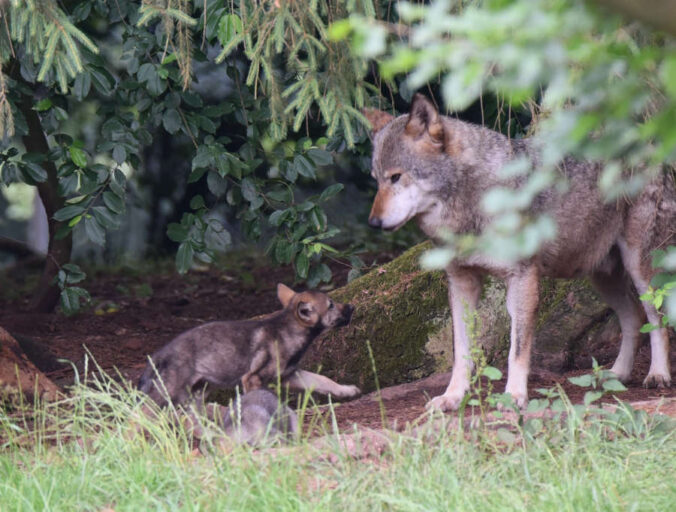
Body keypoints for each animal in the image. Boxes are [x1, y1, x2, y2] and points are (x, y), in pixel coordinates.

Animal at [137, 284, 360, 408]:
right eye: (331, 305)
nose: (352, 306)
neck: (288, 331)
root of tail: (160, 353)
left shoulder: (290, 375)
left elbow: (322, 380)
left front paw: (346, 390)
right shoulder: (253, 378)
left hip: (197, 392)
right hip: (169, 390)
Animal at [368, 94, 672, 410]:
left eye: (396, 177)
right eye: (376, 179)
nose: (373, 223)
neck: (474, 200)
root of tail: (642, 137)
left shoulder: (522, 279)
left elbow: (517, 350)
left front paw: (514, 396)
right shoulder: (461, 282)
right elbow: (461, 352)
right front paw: (452, 397)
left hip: (640, 268)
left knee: (657, 318)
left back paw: (658, 375)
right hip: (602, 278)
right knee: (634, 317)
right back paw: (617, 374)